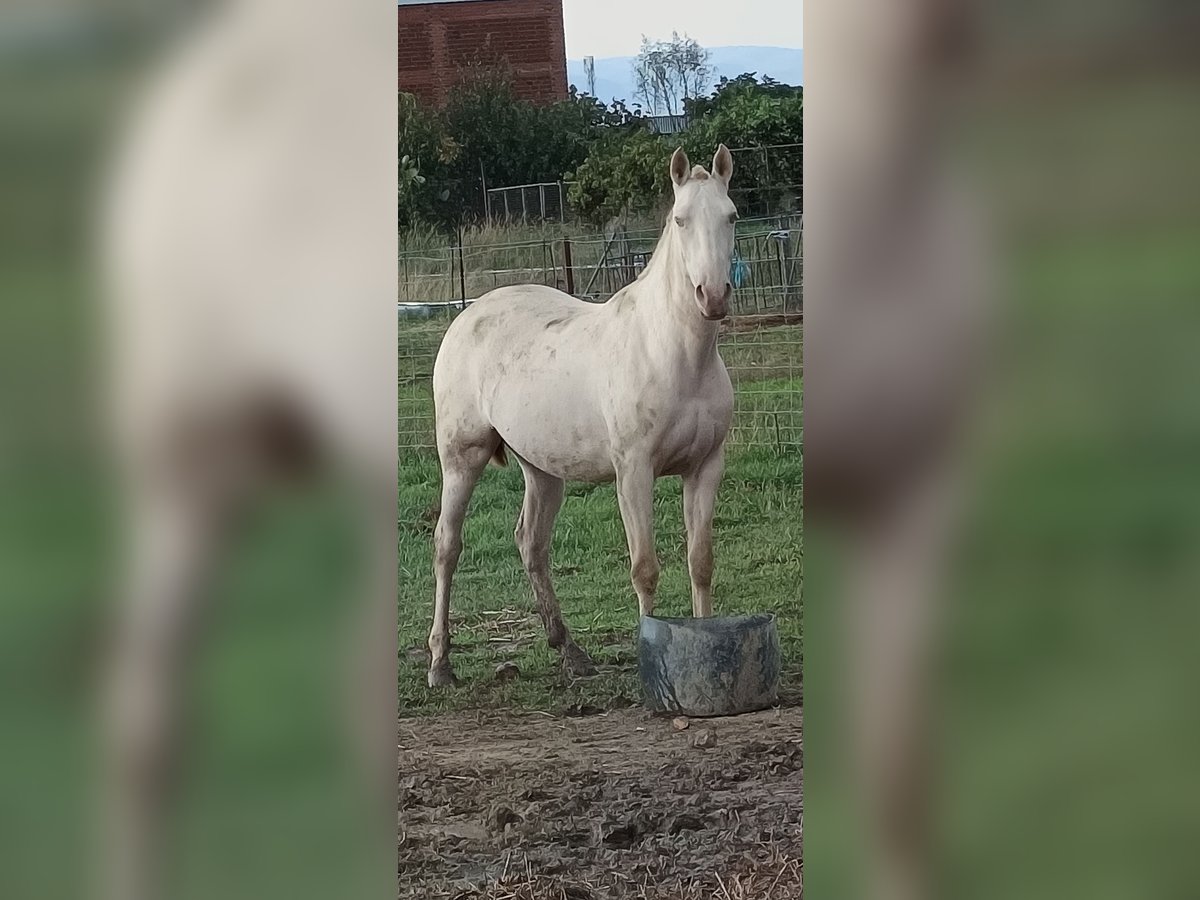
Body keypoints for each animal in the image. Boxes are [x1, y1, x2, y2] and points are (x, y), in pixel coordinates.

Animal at [424, 144, 739, 686]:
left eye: (732, 216)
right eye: (680, 219)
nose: (713, 295)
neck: (675, 354)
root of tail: (467, 314)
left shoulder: (705, 467)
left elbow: (700, 561)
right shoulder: (634, 473)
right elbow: (644, 568)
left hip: (542, 470)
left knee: (531, 544)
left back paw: (570, 650)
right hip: (462, 458)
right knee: (448, 545)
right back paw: (441, 664)